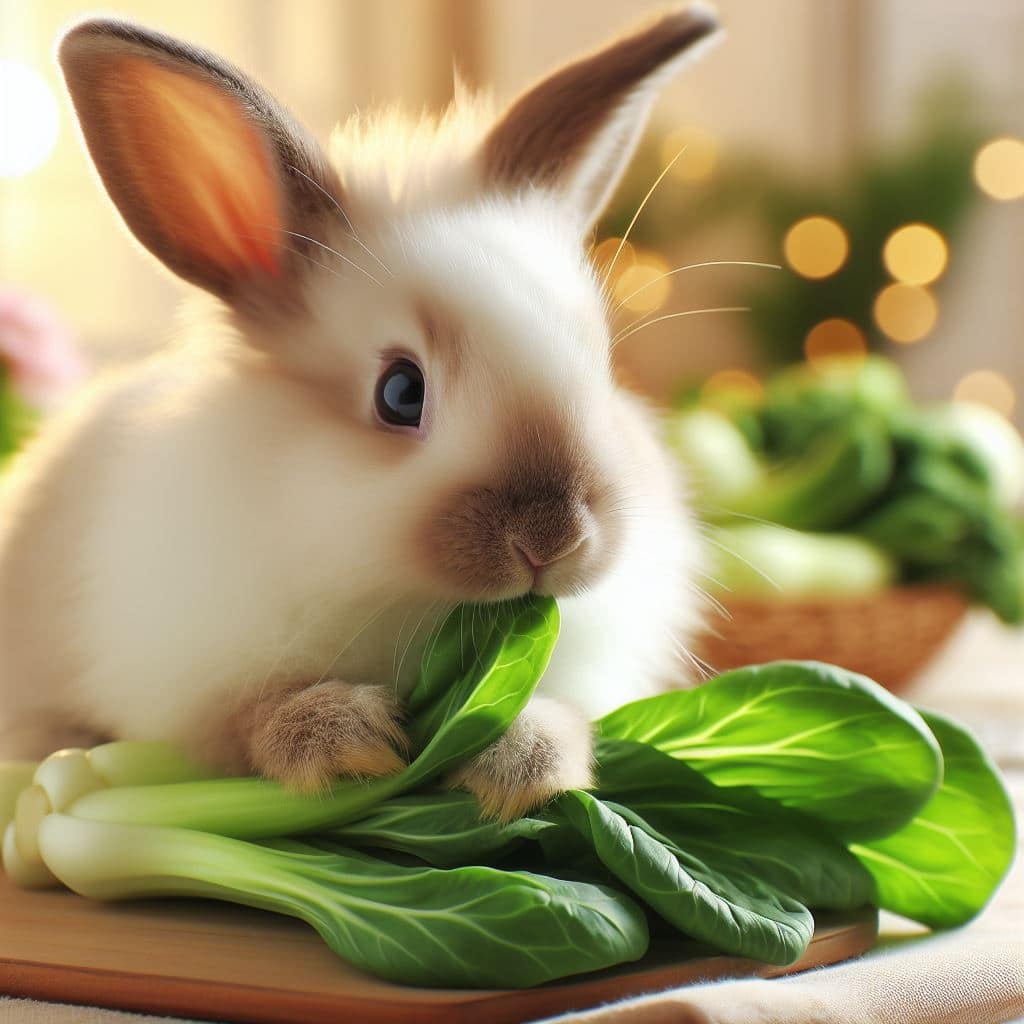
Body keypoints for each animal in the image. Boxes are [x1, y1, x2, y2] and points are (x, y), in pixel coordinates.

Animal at [0, 5, 719, 820]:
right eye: (401, 393)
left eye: (602, 367)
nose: (553, 539)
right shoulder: (195, 684)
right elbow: (250, 717)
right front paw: (346, 741)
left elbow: (547, 711)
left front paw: (527, 767)